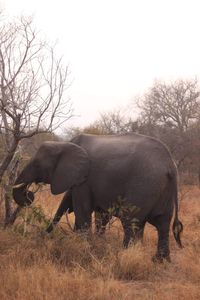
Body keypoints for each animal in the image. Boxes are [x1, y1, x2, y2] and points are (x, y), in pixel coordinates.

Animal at [11, 132, 182, 262]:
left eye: (37, 165)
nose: (28, 194)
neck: (64, 144)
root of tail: (170, 166)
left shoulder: (84, 181)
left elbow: (82, 211)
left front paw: (84, 248)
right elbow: (100, 215)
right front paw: (95, 244)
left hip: (144, 185)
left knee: (131, 222)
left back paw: (125, 255)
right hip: (162, 189)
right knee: (162, 223)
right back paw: (160, 261)